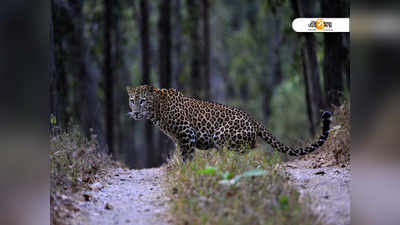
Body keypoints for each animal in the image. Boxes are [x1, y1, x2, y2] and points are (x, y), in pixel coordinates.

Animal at [126, 84, 332, 160]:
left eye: (142, 101)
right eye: (131, 100)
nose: (135, 112)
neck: (157, 110)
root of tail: (254, 120)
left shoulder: (186, 133)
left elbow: (187, 155)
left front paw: (187, 170)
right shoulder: (179, 138)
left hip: (222, 135)